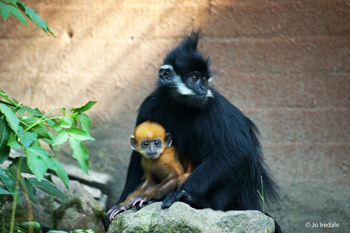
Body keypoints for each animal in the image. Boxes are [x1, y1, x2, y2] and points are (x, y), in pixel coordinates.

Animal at [104, 31, 282, 232]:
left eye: (204, 79)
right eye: (194, 79)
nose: (203, 88)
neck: (181, 105)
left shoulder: (214, 106)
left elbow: (237, 151)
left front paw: (177, 194)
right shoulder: (150, 105)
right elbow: (137, 156)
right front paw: (121, 203)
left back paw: (196, 200)